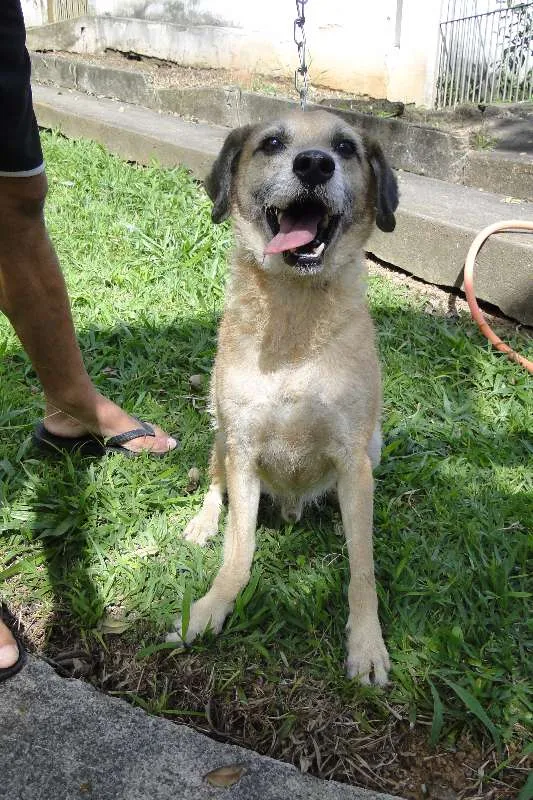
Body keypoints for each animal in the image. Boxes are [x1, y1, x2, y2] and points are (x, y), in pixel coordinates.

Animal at [168, 109, 396, 684]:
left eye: (346, 147)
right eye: (272, 143)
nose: (315, 163)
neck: (294, 319)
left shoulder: (353, 457)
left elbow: (363, 569)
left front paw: (367, 643)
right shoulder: (244, 448)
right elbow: (238, 548)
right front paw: (210, 608)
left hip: (373, 446)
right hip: (222, 437)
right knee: (215, 484)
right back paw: (203, 521)